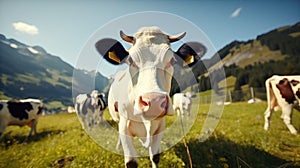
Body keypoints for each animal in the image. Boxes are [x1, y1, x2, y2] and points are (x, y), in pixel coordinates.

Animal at [95, 26, 206, 167]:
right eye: (130, 60)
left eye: (172, 60)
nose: (154, 102)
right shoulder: (125, 126)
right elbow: (131, 162)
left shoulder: (160, 127)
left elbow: (155, 156)